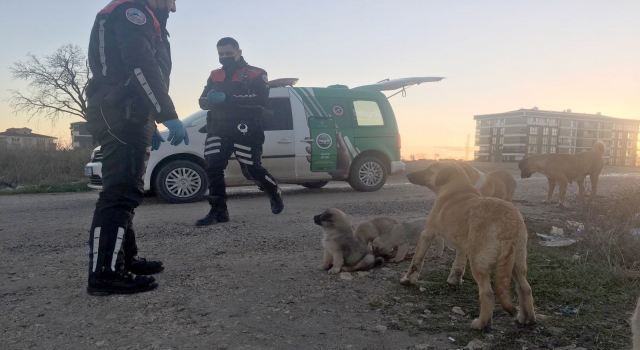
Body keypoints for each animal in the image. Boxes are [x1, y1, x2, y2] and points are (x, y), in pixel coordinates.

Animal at [400, 161, 536, 330]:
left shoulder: (427, 234)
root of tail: (507, 227)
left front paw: (407, 280)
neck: (457, 185)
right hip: (516, 262)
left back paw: (482, 323)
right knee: (525, 289)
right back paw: (527, 318)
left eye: (429, 170)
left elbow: (416, 262)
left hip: (479, 262)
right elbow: (458, 264)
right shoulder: (463, 245)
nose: (408, 175)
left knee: (487, 293)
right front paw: (454, 280)